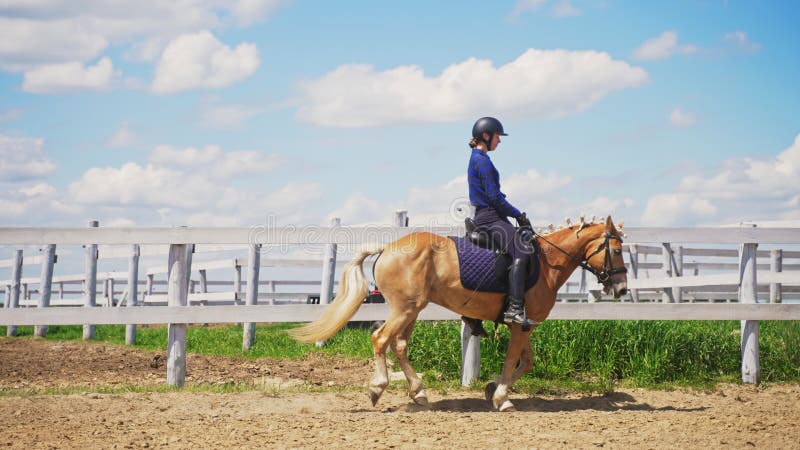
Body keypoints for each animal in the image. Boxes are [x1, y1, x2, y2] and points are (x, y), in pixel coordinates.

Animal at [290, 216, 628, 410]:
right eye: (617, 250)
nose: (622, 289)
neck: (546, 263)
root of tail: (387, 248)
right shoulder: (520, 325)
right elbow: (512, 360)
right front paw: (502, 398)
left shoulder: (524, 326)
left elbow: (527, 361)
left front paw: (493, 387)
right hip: (404, 309)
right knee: (380, 339)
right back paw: (378, 388)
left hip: (413, 309)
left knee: (399, 344)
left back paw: (418, 392)